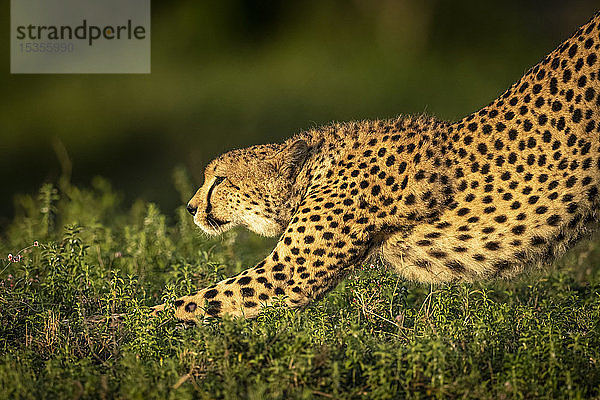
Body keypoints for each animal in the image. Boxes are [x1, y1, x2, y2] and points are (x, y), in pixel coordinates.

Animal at [152, 11, 600, 322]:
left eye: (219, 180)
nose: (190, 207)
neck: (313, 168)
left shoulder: (287, 274)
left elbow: (192, 303)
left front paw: (138, 328)